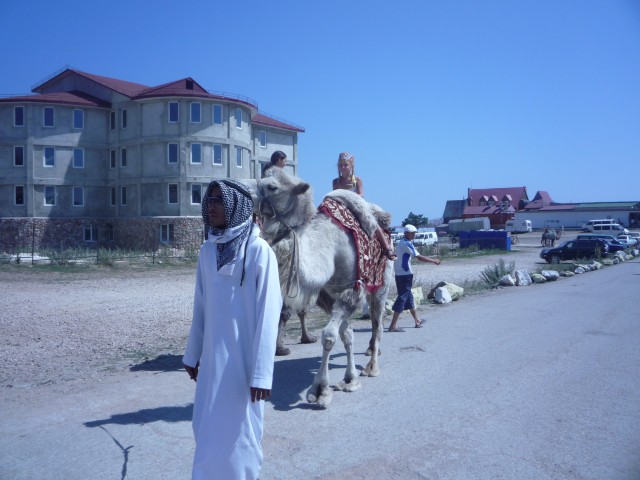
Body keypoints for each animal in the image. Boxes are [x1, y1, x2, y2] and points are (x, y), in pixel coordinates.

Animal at [249, 170, 390, 408]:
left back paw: (372, 366)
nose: (243, 190)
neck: (329, 251)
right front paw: (349, 380)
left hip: (381, 286)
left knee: (377, 324)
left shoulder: (352, 290)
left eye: (272, 187)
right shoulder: (329, 296)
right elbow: (346, 335)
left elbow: (329, 336)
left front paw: (320, 390)